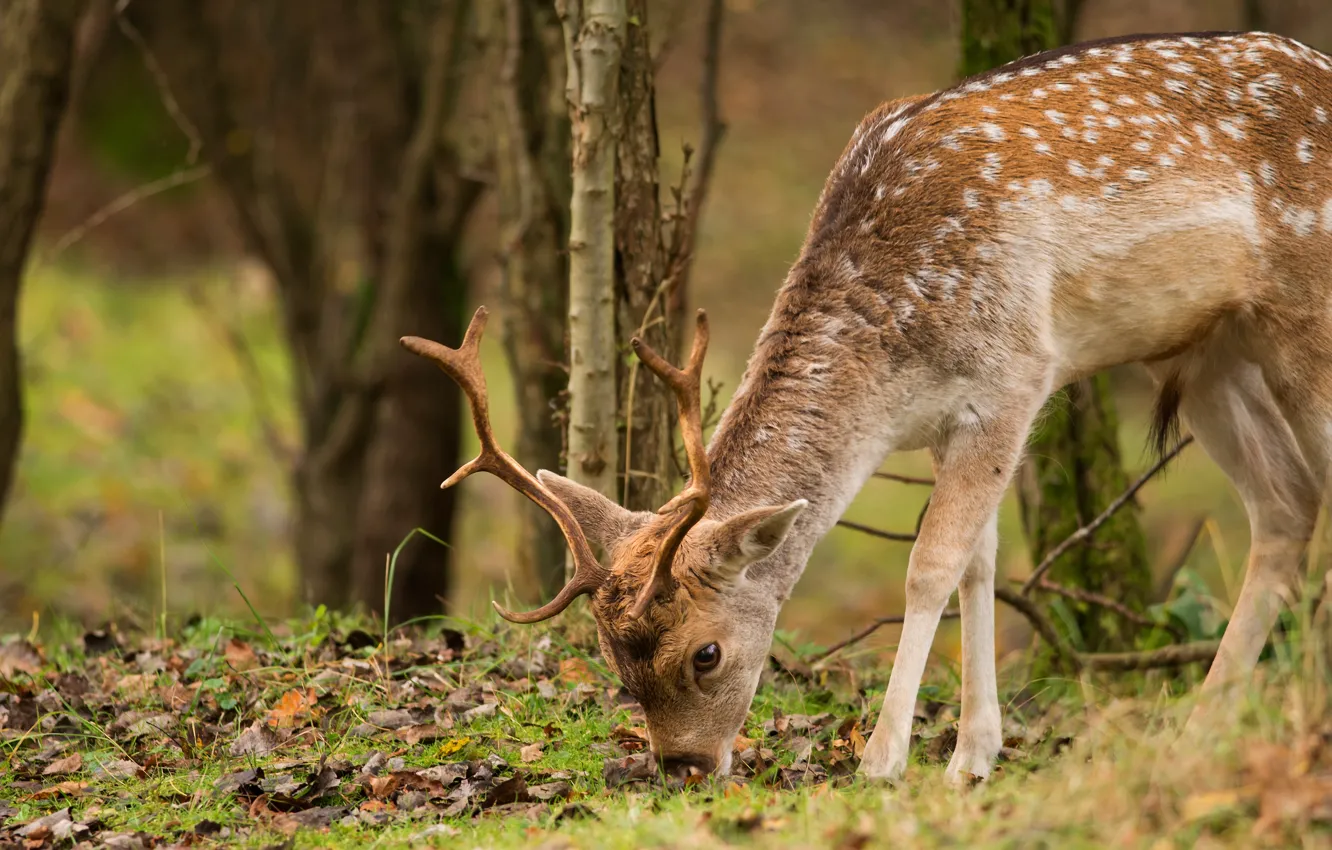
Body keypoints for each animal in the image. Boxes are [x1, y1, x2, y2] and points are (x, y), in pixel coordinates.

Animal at [402, 30, 1332, 785]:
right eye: (615, 664)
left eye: (706, 654)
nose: (685, 768)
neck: (893, 366)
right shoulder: (950, 420)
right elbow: (981, 563)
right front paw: (973, 756)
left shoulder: (1015, 375)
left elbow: (931, 564)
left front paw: (885, 761)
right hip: (1211, 351)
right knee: (1287, 502)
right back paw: (1203, 726)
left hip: (1303, 315)